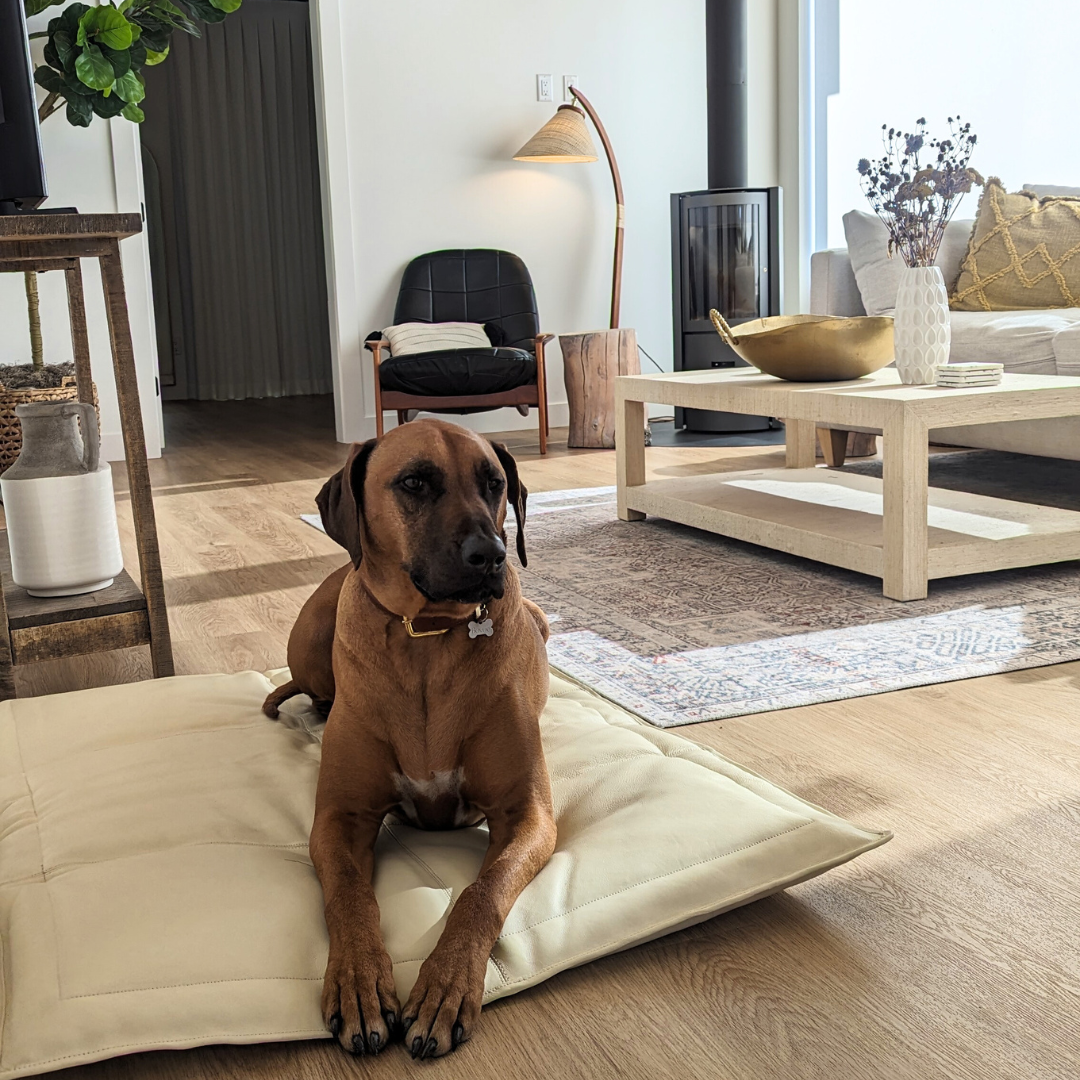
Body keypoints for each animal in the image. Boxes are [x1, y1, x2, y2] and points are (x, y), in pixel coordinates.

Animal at [263, 416, 557, 1058]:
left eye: (495, 483)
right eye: (415, 482)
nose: (491, 556)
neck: (426, 633)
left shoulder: (528, 815)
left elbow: (481, 893)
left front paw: (444, 989)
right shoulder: (339, 817)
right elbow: (349, 894)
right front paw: (358, 983)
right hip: (314, 634)